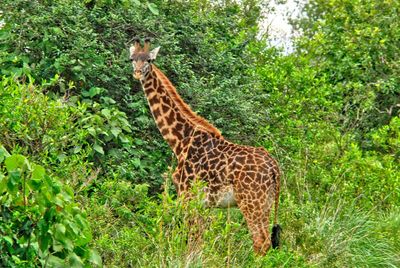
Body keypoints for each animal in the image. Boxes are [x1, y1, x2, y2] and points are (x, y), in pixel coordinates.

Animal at [128, 37, 282, 253]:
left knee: (261, 241)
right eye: (132, 58)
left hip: (251, 201)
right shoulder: (204, 203)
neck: (180, 140)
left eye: (149, 60)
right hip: (266, 202)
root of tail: (274, 168)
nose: (137, 73)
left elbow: (190, 237)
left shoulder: (187, 194)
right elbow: (200, 239)